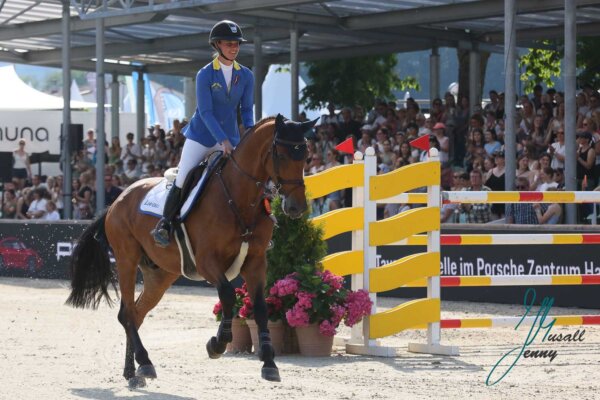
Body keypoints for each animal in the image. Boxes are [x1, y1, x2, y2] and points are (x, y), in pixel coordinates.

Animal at [67, 114, 314, 386]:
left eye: (306, 156)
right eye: (281, 155)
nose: (296, 207)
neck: (238, 199)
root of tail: (116, 201)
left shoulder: (256, 261)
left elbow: (260, 307)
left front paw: (269, 363)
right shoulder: (207, 262)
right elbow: (228, 295)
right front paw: (217, 344)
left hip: (161, 275)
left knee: (137, 313)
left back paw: (133, 372)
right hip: (126, 260)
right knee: (127, 313)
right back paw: (144, 363)